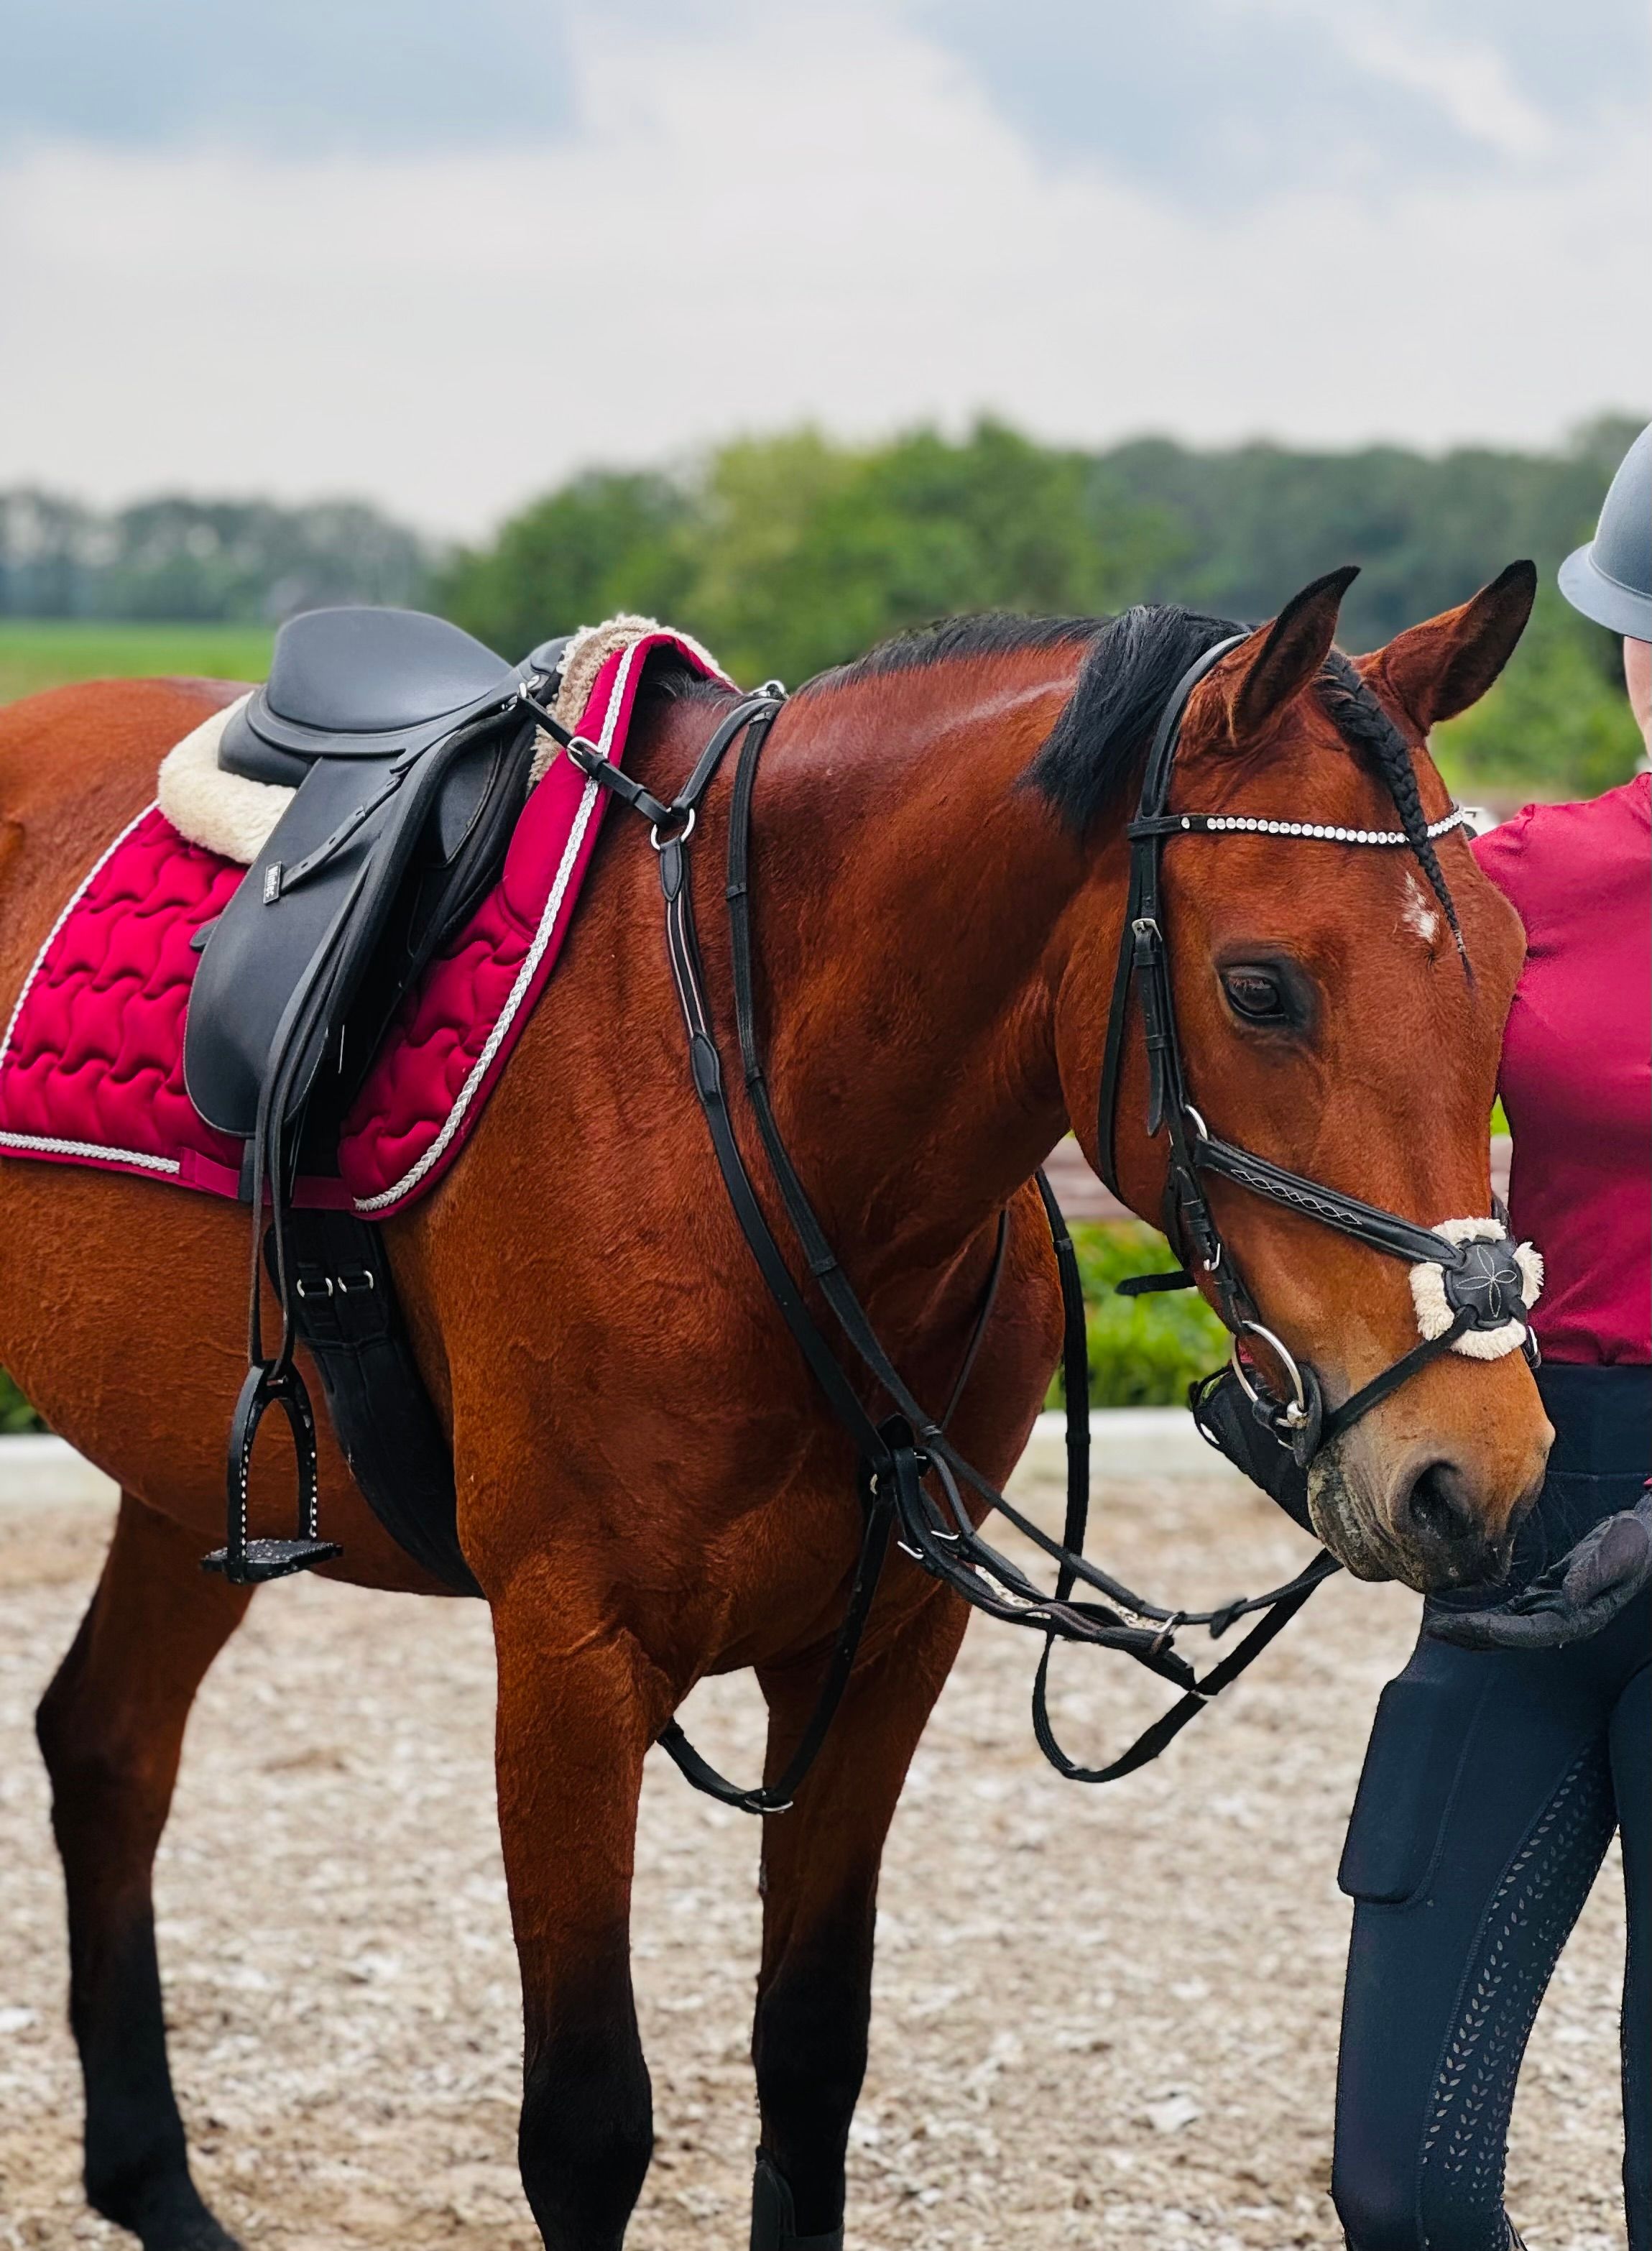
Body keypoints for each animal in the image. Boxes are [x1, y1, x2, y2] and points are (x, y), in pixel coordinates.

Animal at [0, 563, 1551, 2251]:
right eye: (1259, 987)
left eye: (1507, 963)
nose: (1475, 1468)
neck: (745, 1107)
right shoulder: (569, 1659)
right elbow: (586, 2127)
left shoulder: (878, 1654)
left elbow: (810, 2058)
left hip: (194, 1478)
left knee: (109, 1749)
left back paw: (156, 2183)